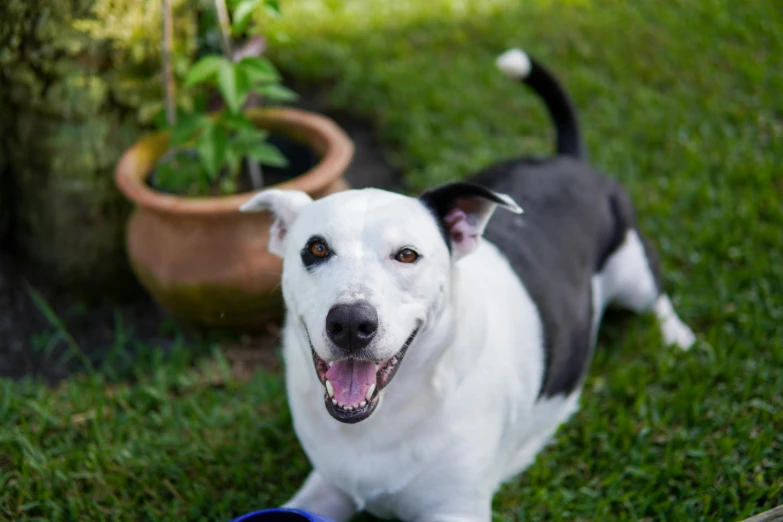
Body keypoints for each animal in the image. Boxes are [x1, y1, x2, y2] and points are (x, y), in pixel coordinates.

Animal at [242, 48, 696, 520]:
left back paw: (674, 336)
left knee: (655, 297)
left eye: (407, 254)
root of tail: (570, 160)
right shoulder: (325, 489)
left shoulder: (456, 508)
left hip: (632, 268)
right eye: (316, 249)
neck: (384, 416)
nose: (350, 323)